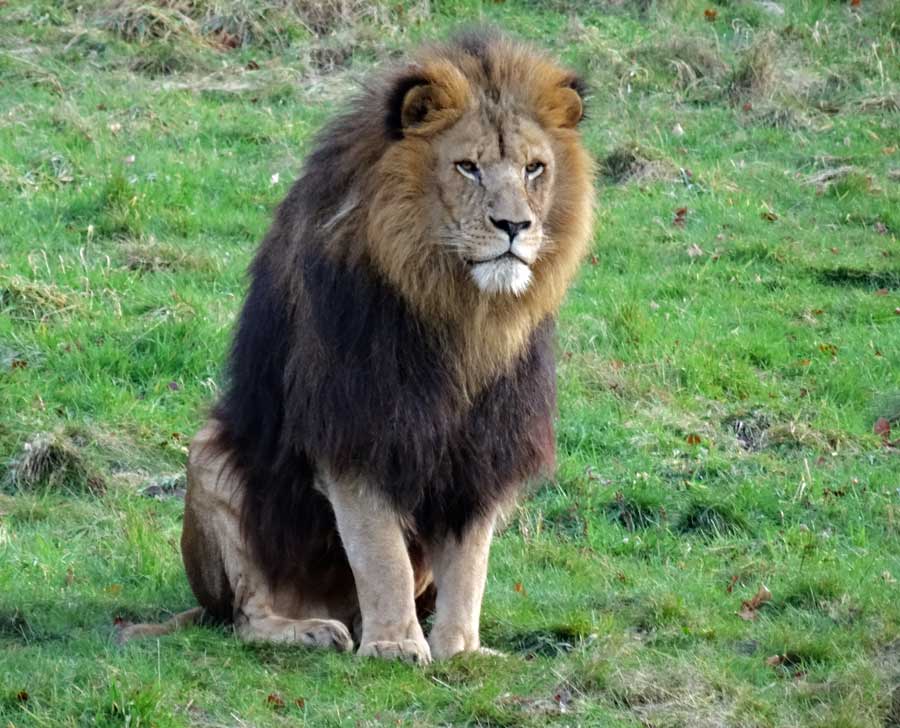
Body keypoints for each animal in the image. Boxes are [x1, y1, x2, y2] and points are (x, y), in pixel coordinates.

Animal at [121, 29, 596, 664]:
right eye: (468, 167)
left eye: (534, 169)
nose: (514, 226)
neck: (462, 314)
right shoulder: (353, 424)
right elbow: (379, 552)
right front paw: (394, 645)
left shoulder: (484, 444)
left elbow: (469, 563)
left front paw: (461, 650)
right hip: (211, 459)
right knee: (245, 616)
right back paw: (309, 630)